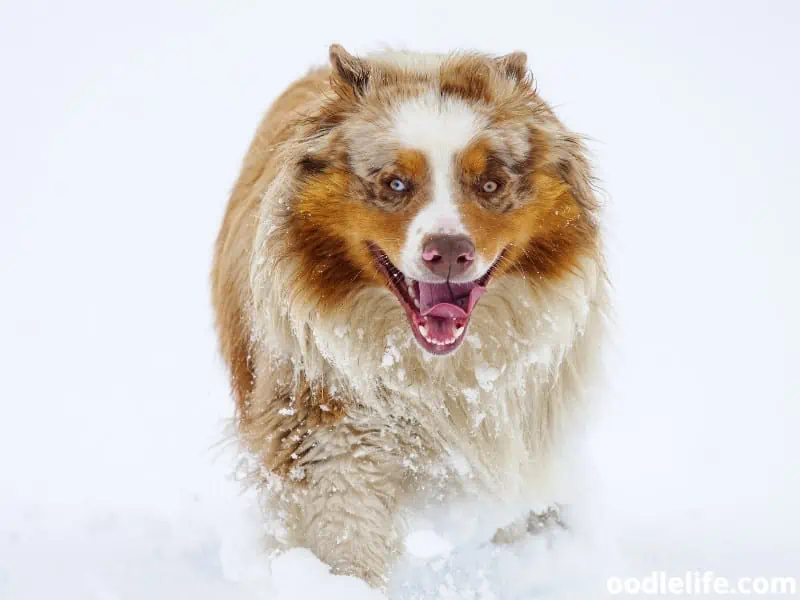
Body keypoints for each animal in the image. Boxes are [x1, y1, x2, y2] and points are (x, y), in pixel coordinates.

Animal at [211, 44, 608, 588]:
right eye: (396, 183)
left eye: (490, 184)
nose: (449, 251)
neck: (435, 371)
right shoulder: (323, 416)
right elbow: (345, 521)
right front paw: (348, 584)